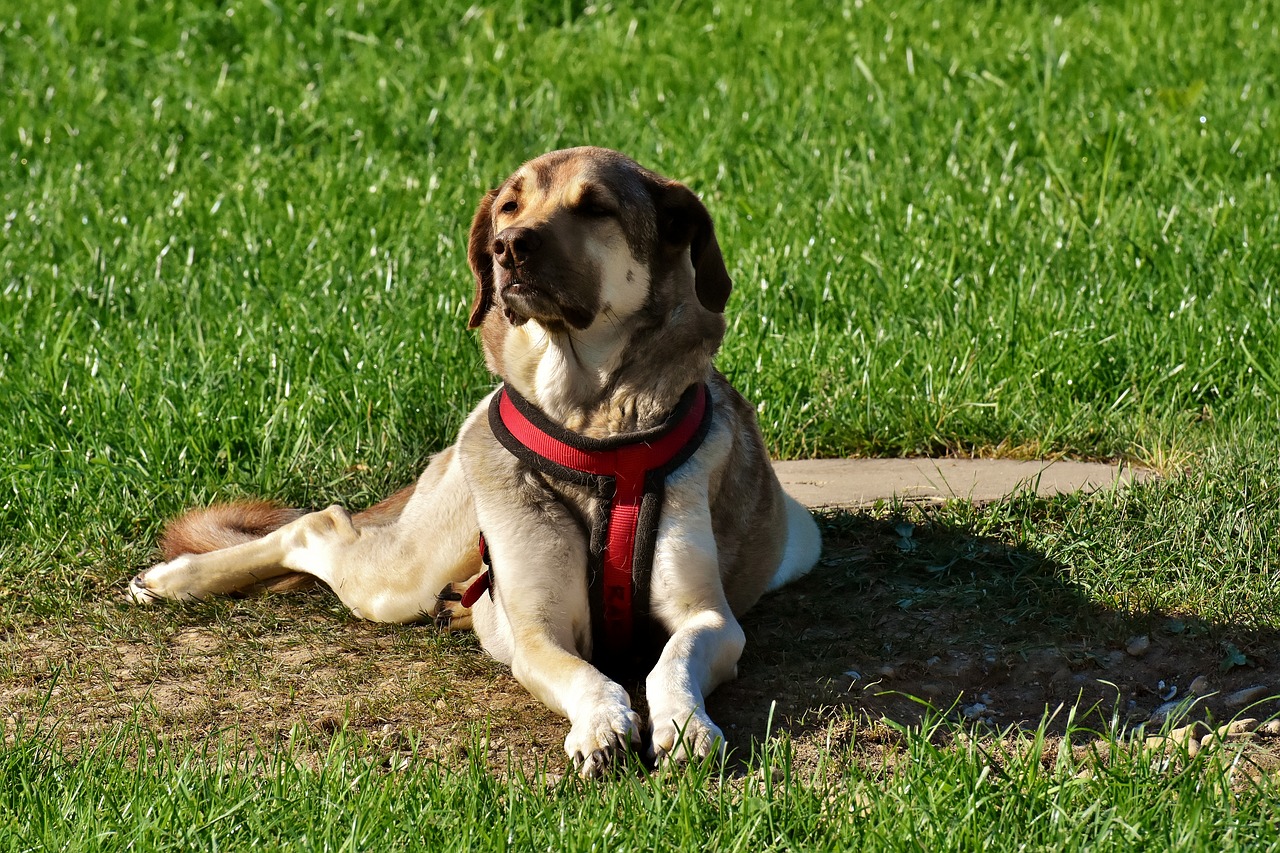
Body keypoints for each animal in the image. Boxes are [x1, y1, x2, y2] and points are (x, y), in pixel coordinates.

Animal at [129, 147, 824, 778]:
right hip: (401, 575)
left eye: (595, 207)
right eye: (510, 206)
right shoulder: (538, 629)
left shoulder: (709, 617)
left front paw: (683, 721)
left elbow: (673, 660)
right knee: (316, 526)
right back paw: (176, 579)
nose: (507, 246)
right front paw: (602, 721)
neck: (590, 424)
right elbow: (581, 672)